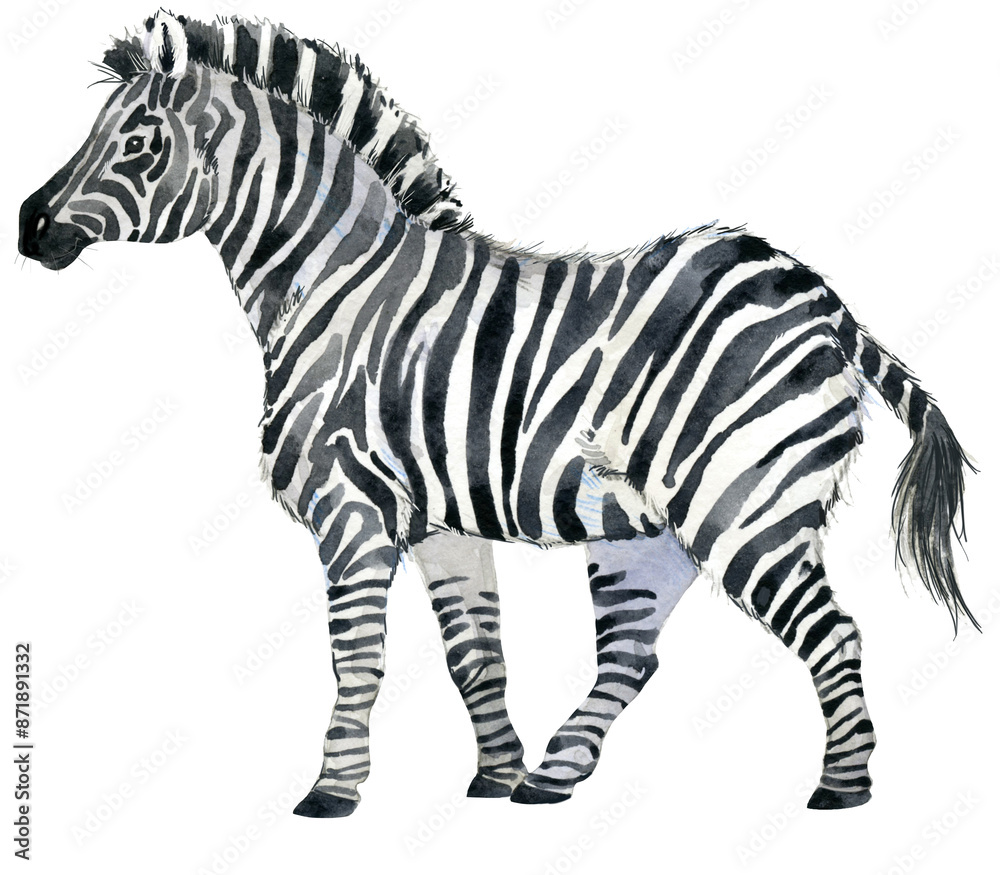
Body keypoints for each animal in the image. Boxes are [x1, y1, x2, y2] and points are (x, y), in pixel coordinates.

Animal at [18, 11, 976, 817]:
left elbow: (356, 651)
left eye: (138, 142)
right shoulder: (438, 519)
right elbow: (474, 654)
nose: (27, 226)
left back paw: (843, 786)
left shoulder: (351, 507)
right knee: (634, 653)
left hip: (745, 506)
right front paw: (493, 774)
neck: (335, 283)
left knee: (831, 631)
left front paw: (333, 790)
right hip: (646, 531)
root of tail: (822, 297)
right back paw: (550, 776)